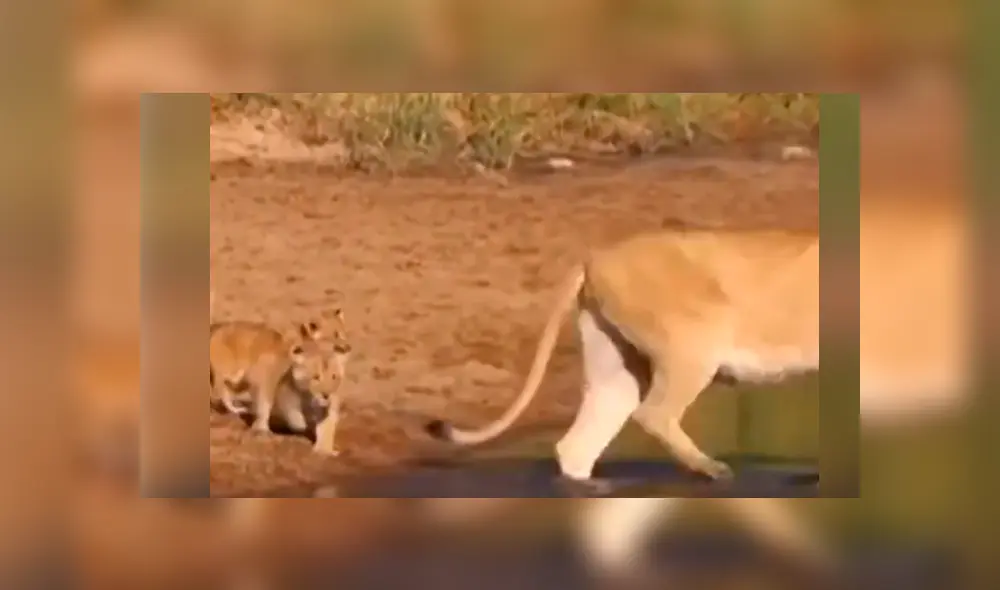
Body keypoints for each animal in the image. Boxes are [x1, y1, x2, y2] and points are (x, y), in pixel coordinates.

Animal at [210, 309, 352, 455]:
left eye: (342, 333)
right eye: (334, 335)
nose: (347, 348)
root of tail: (216, 327)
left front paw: (325, 450)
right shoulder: (266, 375)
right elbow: (268, 407)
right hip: (232, 374)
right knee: (222, 391)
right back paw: (237, 411)